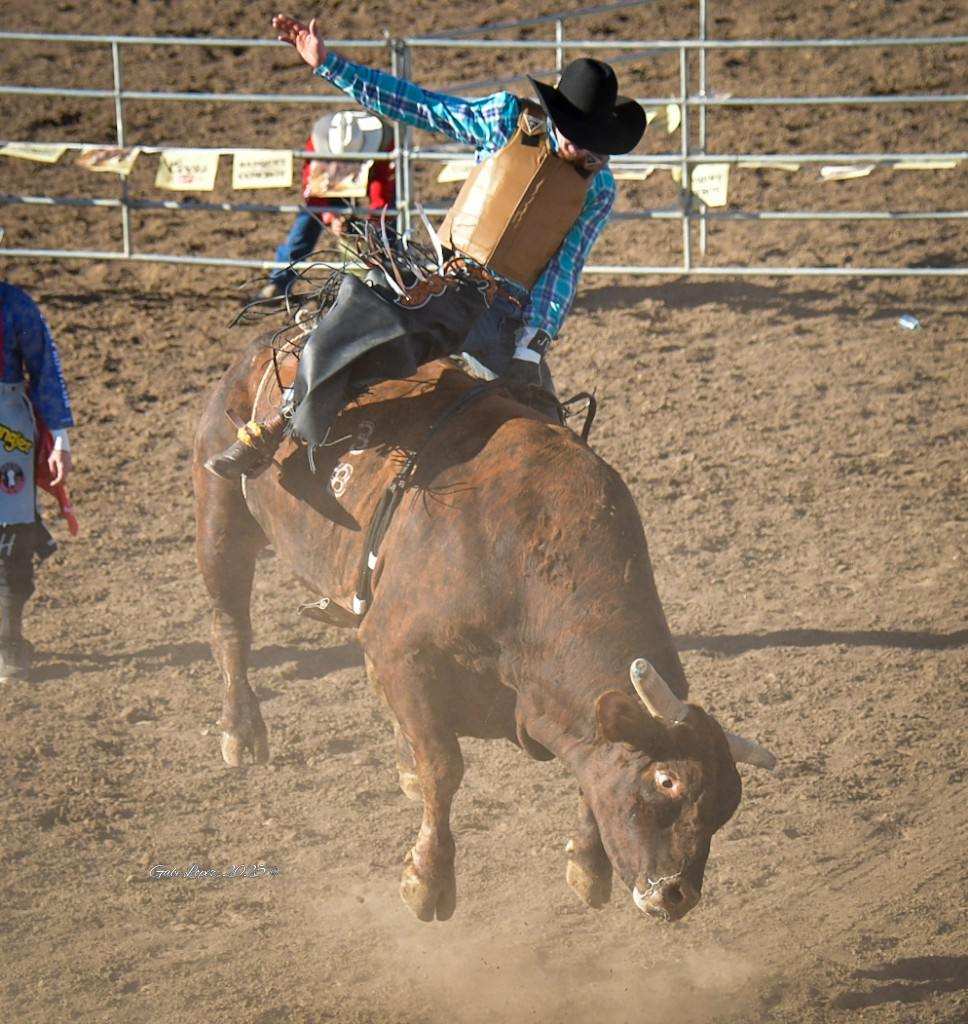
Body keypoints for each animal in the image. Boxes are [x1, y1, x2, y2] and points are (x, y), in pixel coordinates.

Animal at [192, 346, 774, 929]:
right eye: (666, 781)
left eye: (727, 806)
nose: (677, 894)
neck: (521, 560)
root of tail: (264, 351)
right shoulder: (402, 652)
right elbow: (443, 768)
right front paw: (426, 880)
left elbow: (588, 769)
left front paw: (588, 867)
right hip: (221, 517)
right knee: (230, 627)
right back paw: (240, 731)